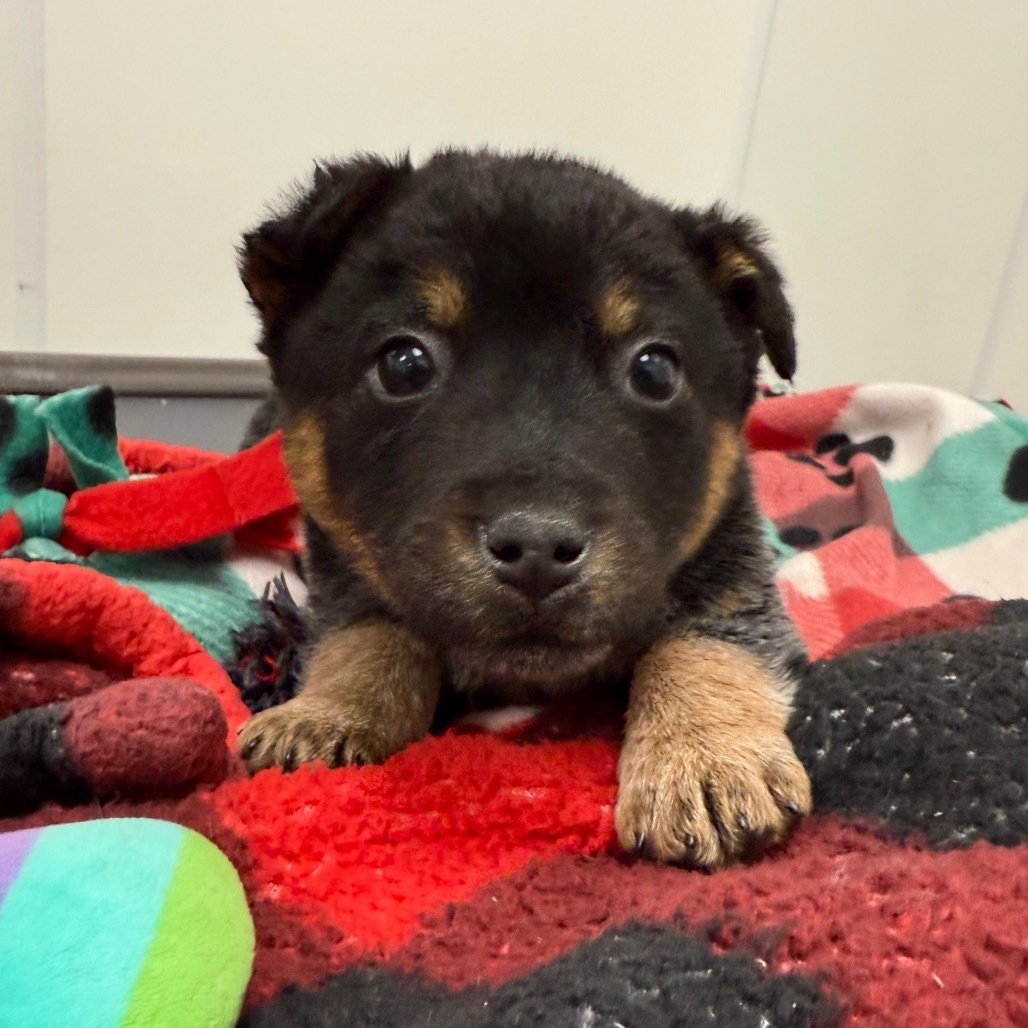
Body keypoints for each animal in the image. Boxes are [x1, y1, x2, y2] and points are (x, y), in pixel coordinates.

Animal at [236, 147, 814, 867]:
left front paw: (706, 755)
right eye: (403, 363)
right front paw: (327, 712)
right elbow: (367, 633)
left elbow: (709, 637)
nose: (538, 549)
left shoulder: (732, 553)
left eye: (654, 369)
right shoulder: (346, 564)